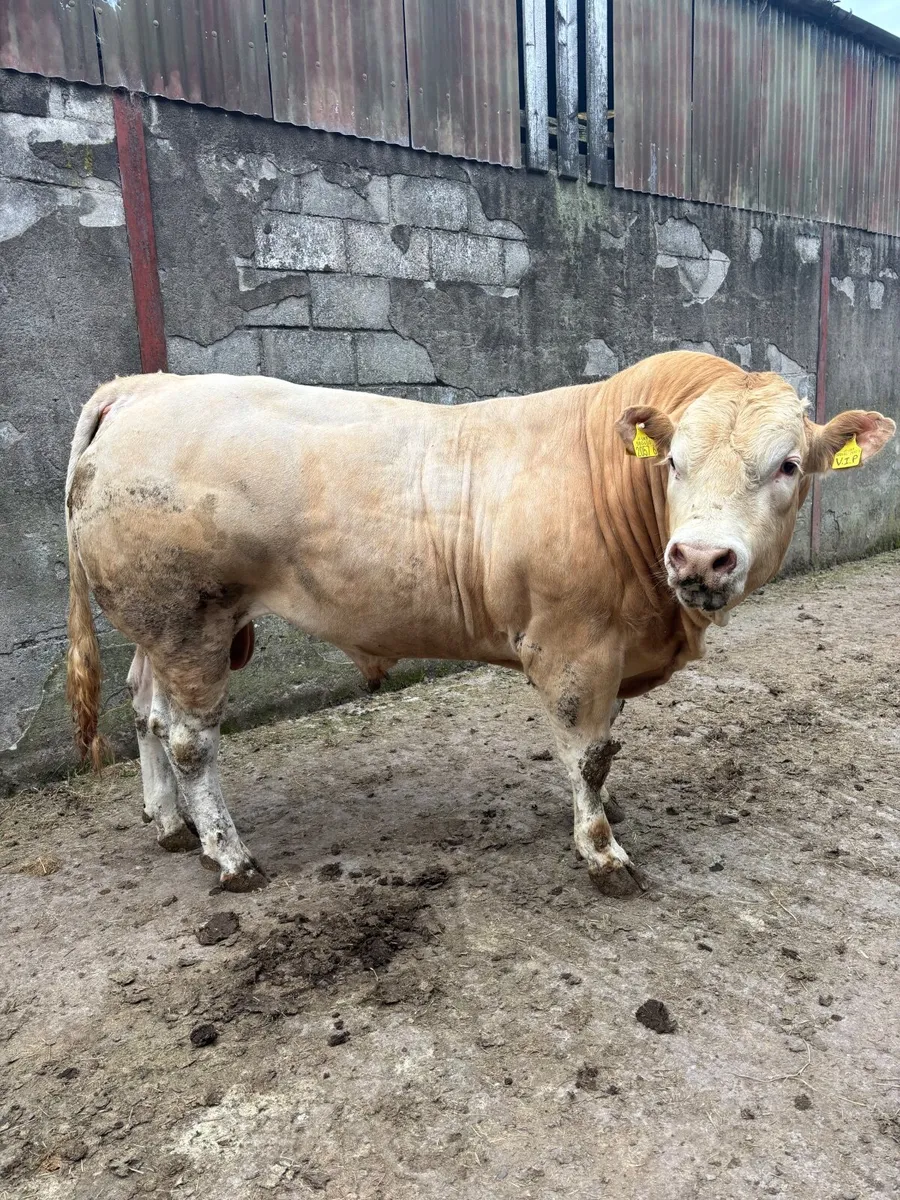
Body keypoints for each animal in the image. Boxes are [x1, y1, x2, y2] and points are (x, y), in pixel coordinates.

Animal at [64, 351, 895, 895]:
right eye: (673, 462)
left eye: (789, 465)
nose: (699, 557)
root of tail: (143, 387)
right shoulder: (571, 645)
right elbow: (587, 753)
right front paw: (602, 851)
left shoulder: (613, 646)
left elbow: (603, 747)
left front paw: (608, 810)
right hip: (189, 618)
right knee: (189, 739)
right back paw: (229, 856)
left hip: (162, 626)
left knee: (146, 711)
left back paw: (170, 825)